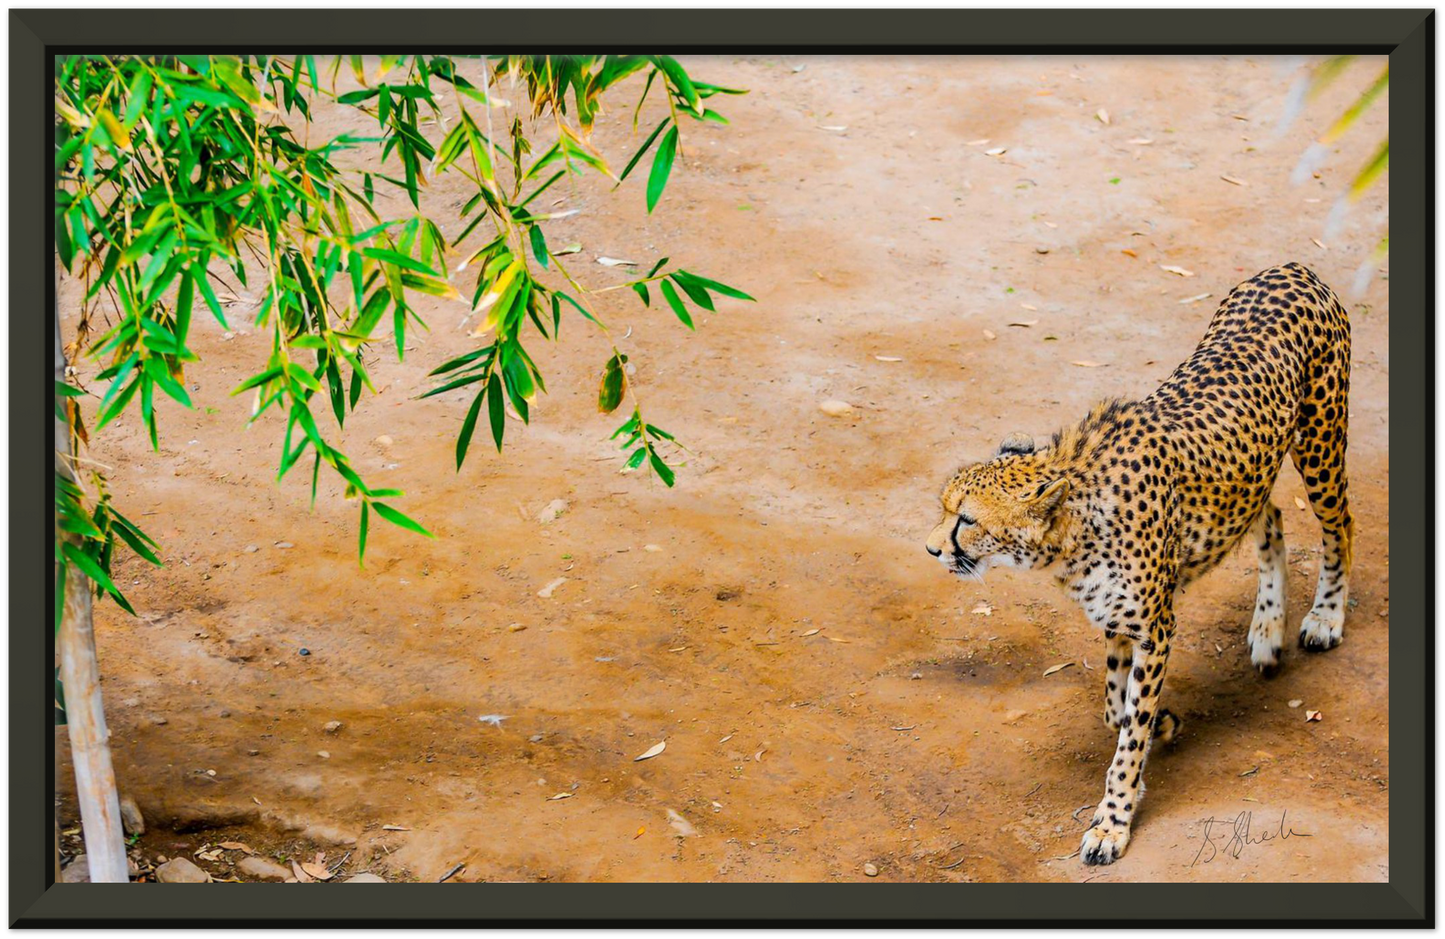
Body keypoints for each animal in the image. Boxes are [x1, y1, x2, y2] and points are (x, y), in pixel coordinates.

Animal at [924, 261, 1352, 860]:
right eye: (946, 510)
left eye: (966, 520)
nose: (932, 548)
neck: (1072, 531)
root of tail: (1290, 267)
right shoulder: (1118, 618)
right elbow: (1115, 706)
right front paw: (1163, 726)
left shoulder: (1155, 627)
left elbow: (1128, 733)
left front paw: (1113, 821)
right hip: (1256, 473)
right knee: (1268, 515)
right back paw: (1268, 629)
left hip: (1320, 445)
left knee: (1340, 527)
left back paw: (1324, 617)